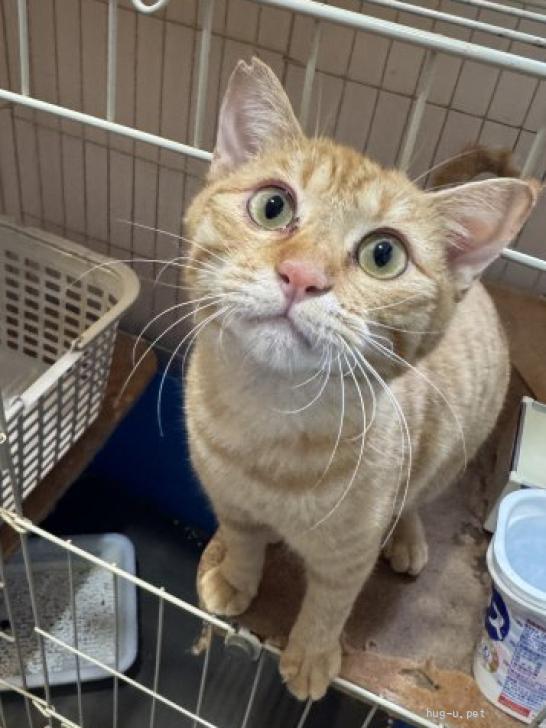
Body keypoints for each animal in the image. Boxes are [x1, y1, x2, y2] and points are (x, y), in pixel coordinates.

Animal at [183, 57, 540, 701]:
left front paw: (309, 657)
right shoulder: (231, 504)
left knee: (414, 499)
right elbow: (245, 543)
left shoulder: (347, 557)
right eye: (272, 206)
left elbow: (329, 605)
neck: (267, 430)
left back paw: (408, 538)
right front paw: (236, 580)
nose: (302, 275)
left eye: (383, 255)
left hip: (447, 455)